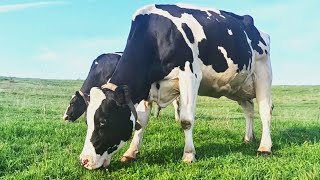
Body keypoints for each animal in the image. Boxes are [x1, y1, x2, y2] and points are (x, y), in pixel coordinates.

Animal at [79, 4, 272, 170]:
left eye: (103, 122)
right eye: (87, 121)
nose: (84, 161)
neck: (156, 36)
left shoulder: (190, 75)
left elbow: (186, 120)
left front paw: (189, 155)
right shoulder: (147, 87)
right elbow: (140, 123)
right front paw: (131, 153)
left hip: (262, 72)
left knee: (265, 111)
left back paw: (265, 147)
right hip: (237, 86)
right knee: (249, 109)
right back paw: (248, 138)